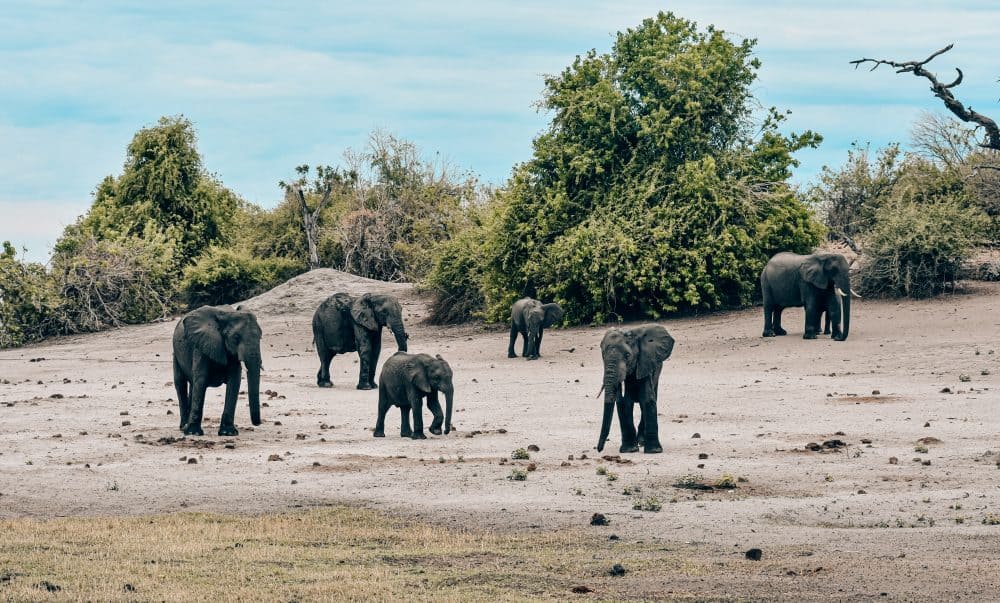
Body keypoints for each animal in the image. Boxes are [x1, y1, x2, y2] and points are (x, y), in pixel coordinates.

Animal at [174, 304, 264, 436]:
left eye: (260, 336)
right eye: (236, 337)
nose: (257, 423)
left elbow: (234, 382)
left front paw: (228, 433)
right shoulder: (201, 345)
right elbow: (201, 380)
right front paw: (193, 433)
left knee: (192, 385)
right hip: (175, 352)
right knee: (180, 383)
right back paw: (184, 427)